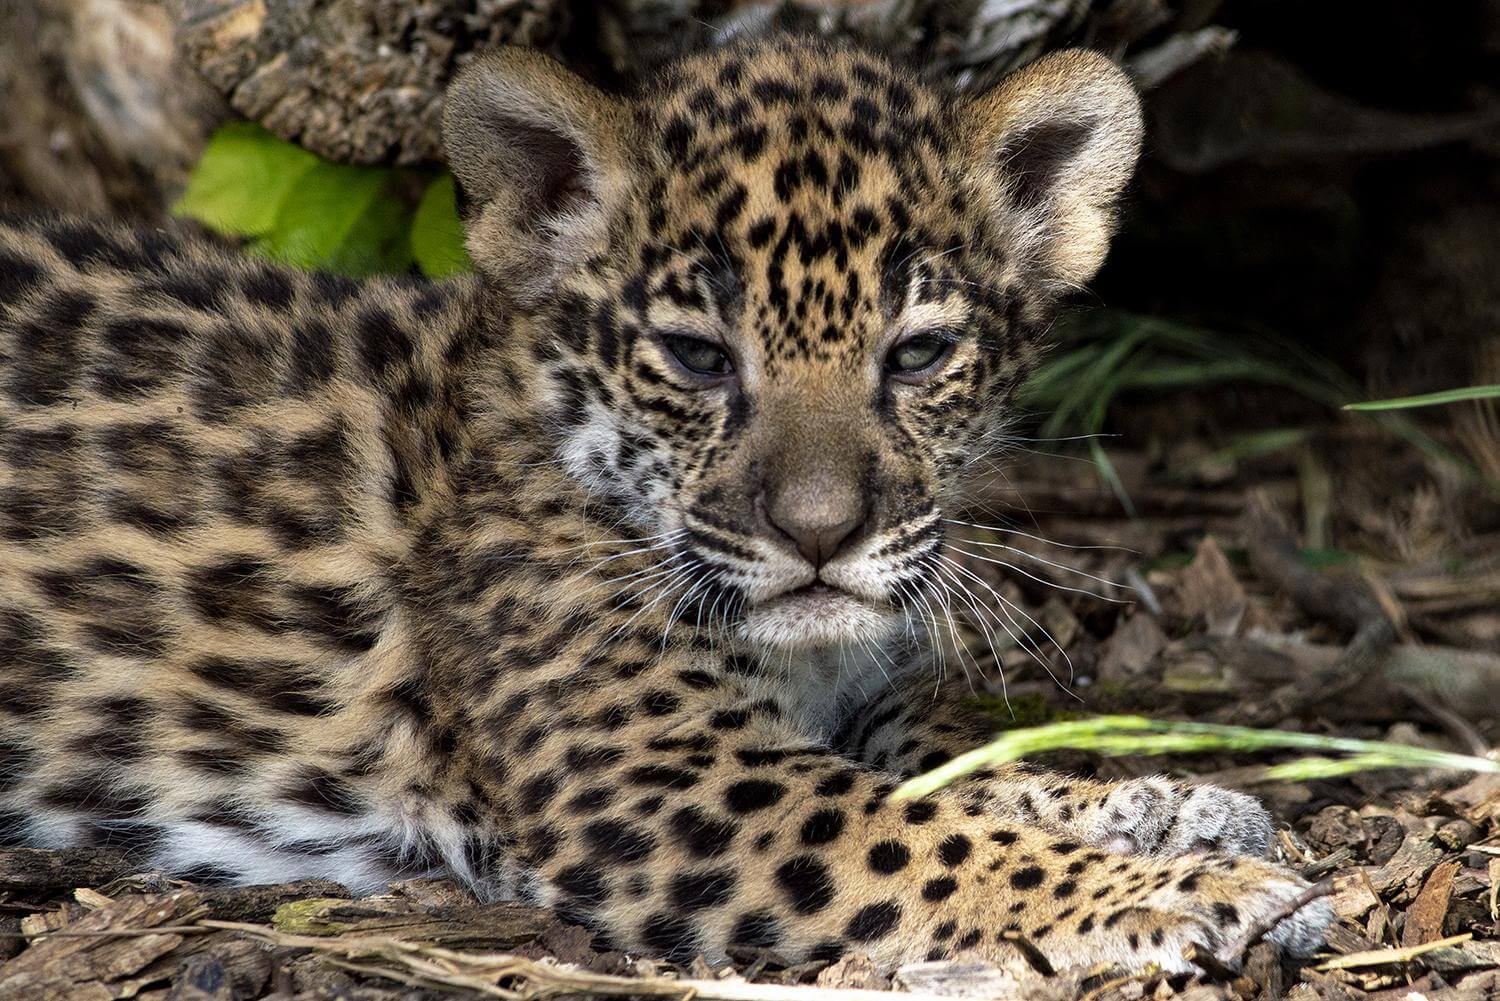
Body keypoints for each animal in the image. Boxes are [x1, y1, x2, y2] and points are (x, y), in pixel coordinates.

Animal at [0, 35, 1332, 976]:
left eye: (916, 356)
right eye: (696, 357)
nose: (820, 535)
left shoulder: (844, 711)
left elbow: (966, 766)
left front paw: (1169, 801)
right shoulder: (657, 775)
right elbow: (925, 834)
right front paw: (1189, 889)